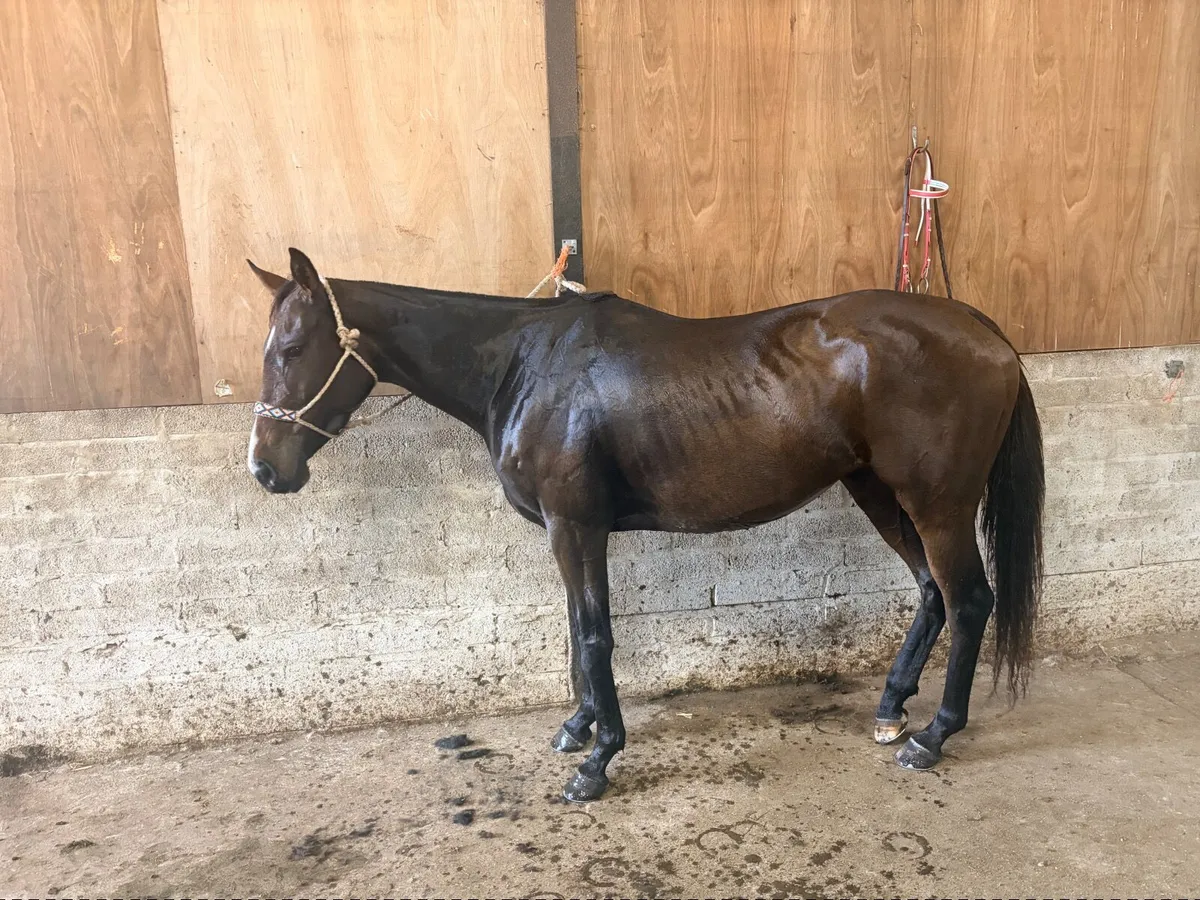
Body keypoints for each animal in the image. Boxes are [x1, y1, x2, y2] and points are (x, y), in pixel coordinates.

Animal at [246, 248, 1044, 803]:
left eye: (292, 349)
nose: (265, 468)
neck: (525, 367)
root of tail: (979, 327)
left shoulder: (576, 527)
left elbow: (595, 636)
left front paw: (598, 760)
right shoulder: (567, 532)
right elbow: (576, 632)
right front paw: (577, 729)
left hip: (936, 504)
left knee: (969, 601)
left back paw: (933, 736)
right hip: (878, 492)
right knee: (933, 594)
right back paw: (891, 711)